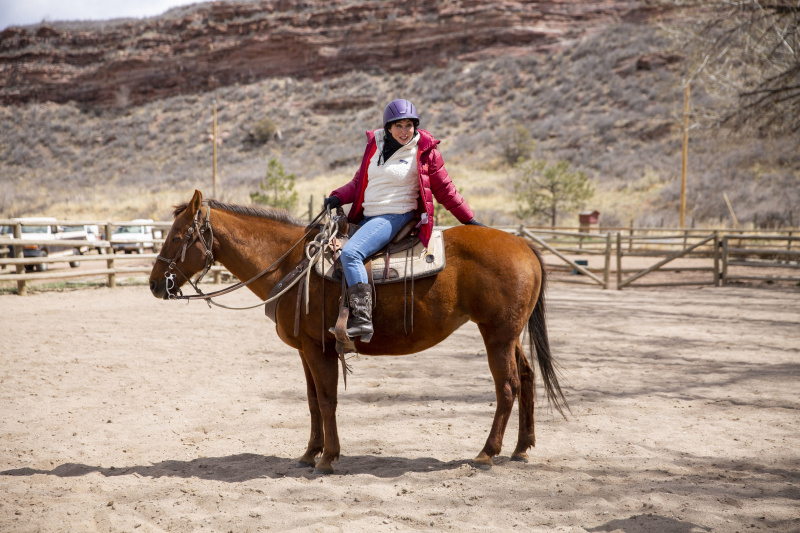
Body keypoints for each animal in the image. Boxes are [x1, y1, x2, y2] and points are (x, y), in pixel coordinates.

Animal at [148, 190, 564, 474]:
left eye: (177, 235)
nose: (154, 284)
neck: (291, 262)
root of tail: (524, 245)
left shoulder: (319, 349)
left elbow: (327, 400)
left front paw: (328, 458)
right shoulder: (306, 350)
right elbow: (313, 401)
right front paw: (309, 453)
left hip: (497, 335)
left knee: (507, 386)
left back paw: (487, 453)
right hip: (509, 335)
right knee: (527, 377)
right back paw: (522, 448)